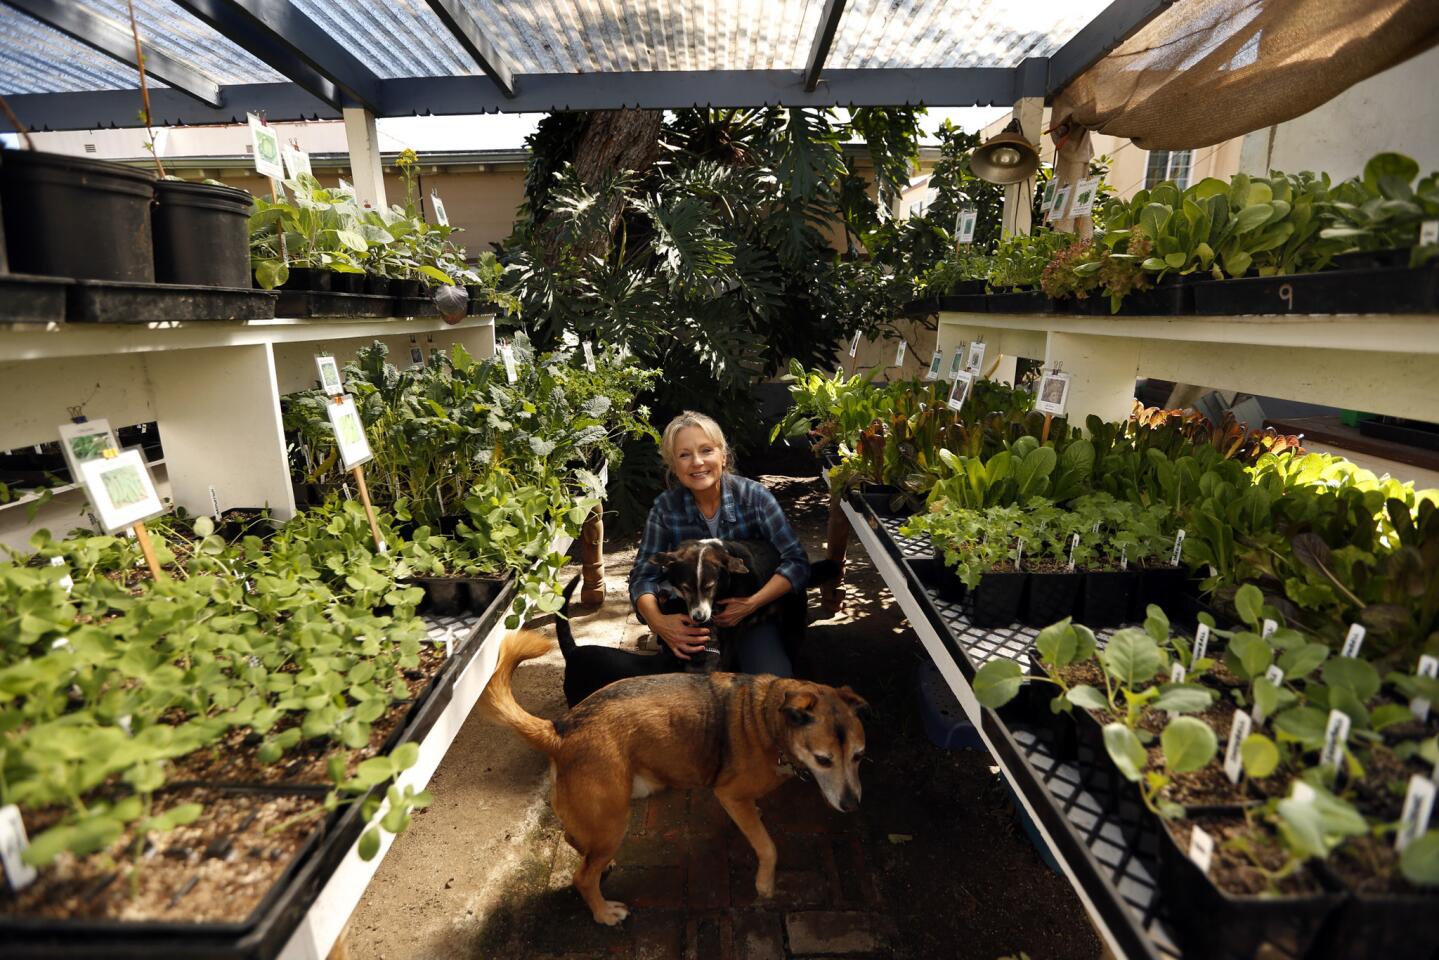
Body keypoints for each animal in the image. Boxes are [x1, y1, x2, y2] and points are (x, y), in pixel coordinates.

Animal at [480, 630, 863, 921]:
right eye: (824, 760)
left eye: (859, 756)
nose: (852, 805)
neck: (768, 719)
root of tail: (560, 729)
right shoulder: (730, 795)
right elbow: (768, 846)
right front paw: (765, 884)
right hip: (614, 820)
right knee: (582, 876)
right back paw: (604, 913)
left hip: (599, 820)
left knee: (577, 841)